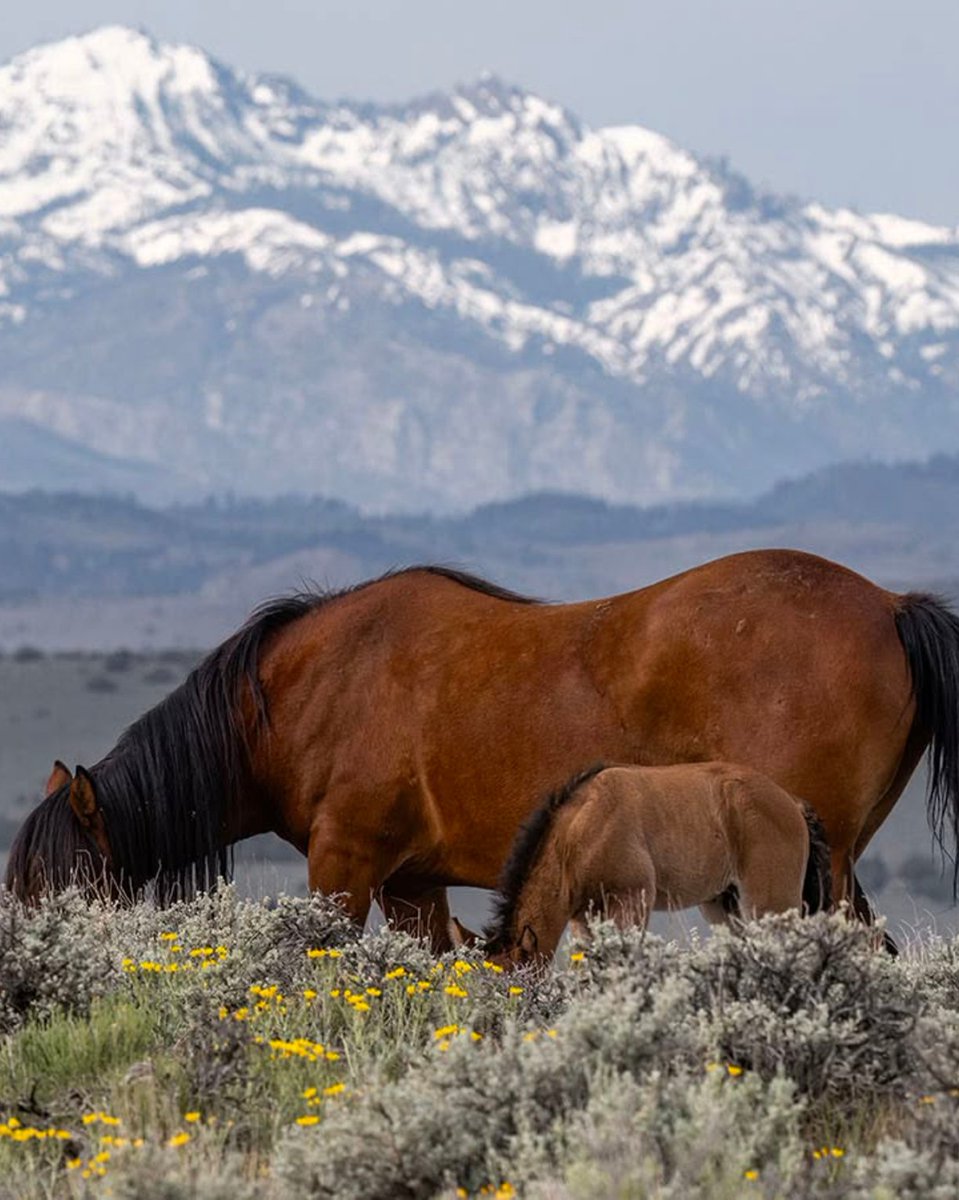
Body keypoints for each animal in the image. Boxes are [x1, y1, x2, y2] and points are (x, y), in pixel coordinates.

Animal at [447, 762, 833, 965]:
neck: (582, 828)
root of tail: (793, 803)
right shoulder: (584, 919)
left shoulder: (632, 903)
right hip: (724, 906)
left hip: (769, 904)